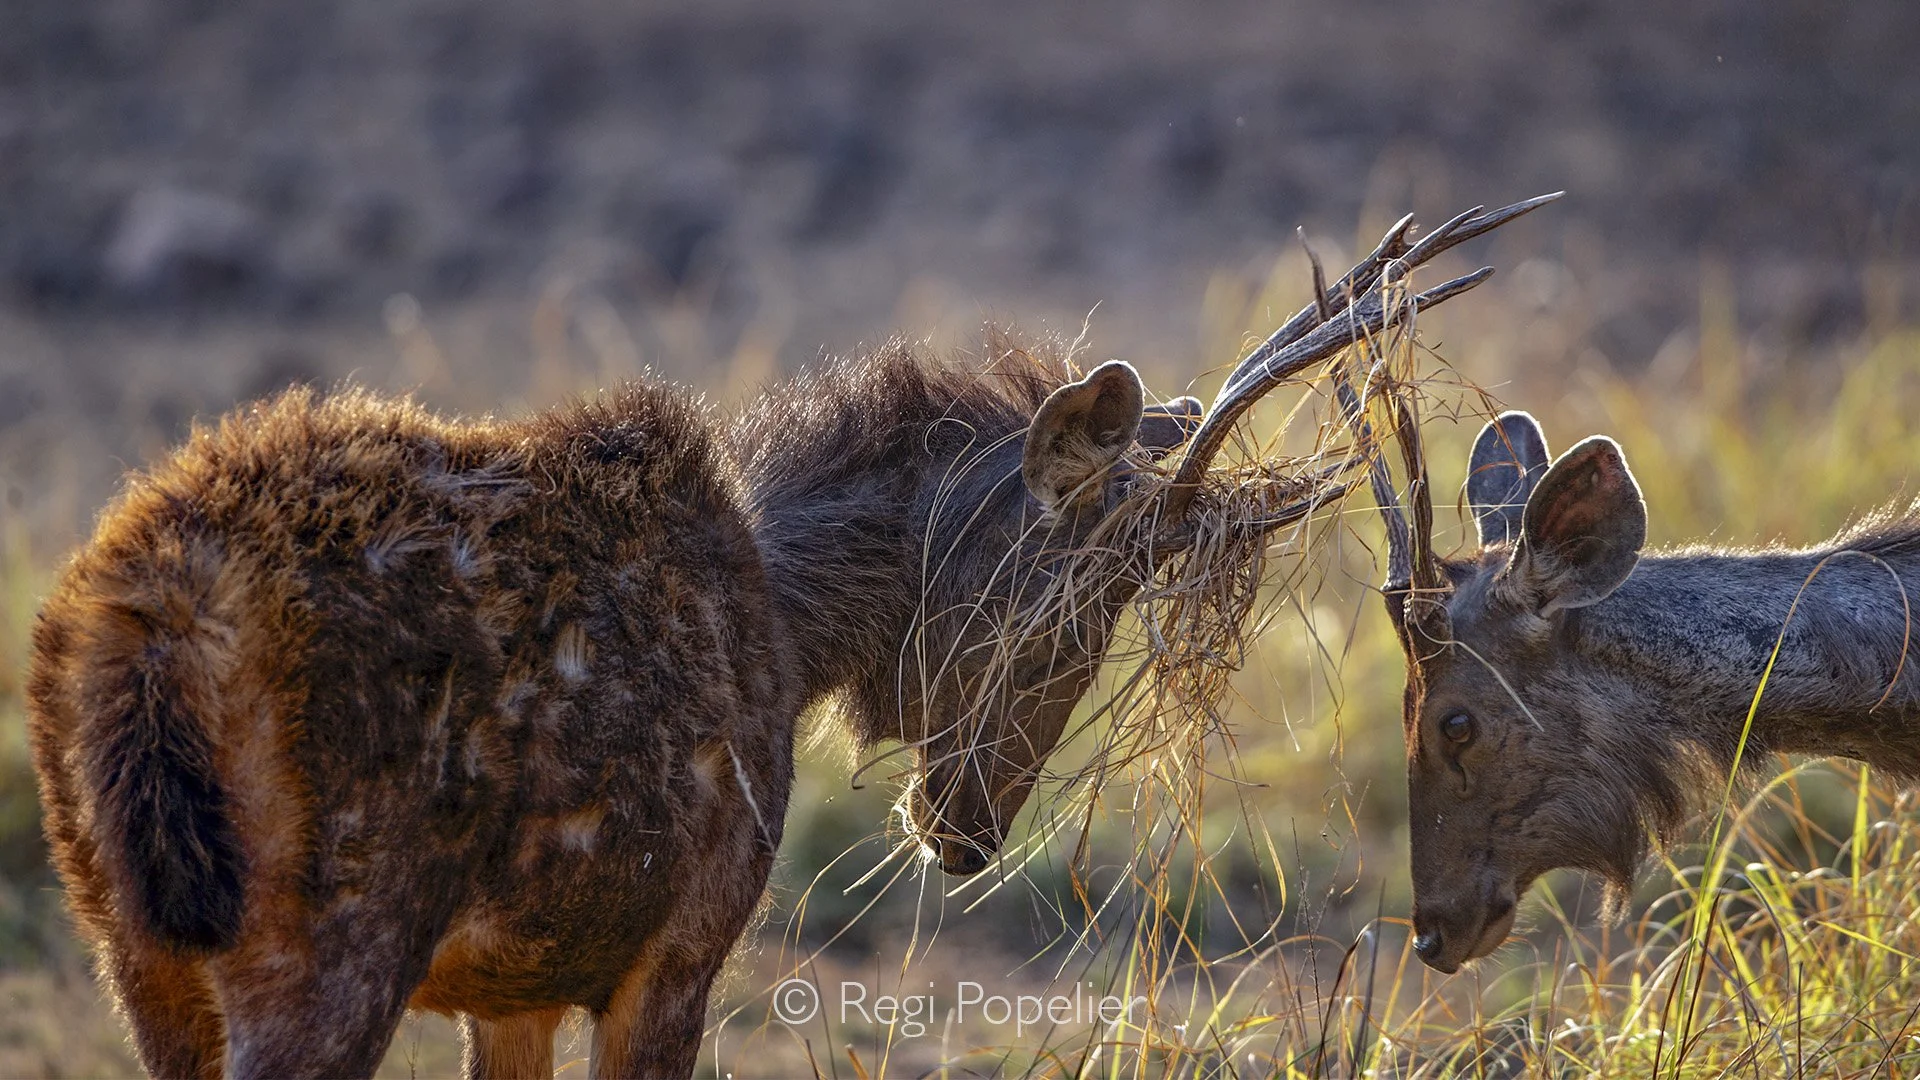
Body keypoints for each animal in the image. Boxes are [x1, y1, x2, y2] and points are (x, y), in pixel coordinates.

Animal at [25, 195, 1552, 1078]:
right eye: (1070, 597)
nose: (971, 825)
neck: (795, 621)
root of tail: (147, 628)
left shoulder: (518, 982)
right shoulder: (679, 941)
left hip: (135, 949)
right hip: (330, 942)